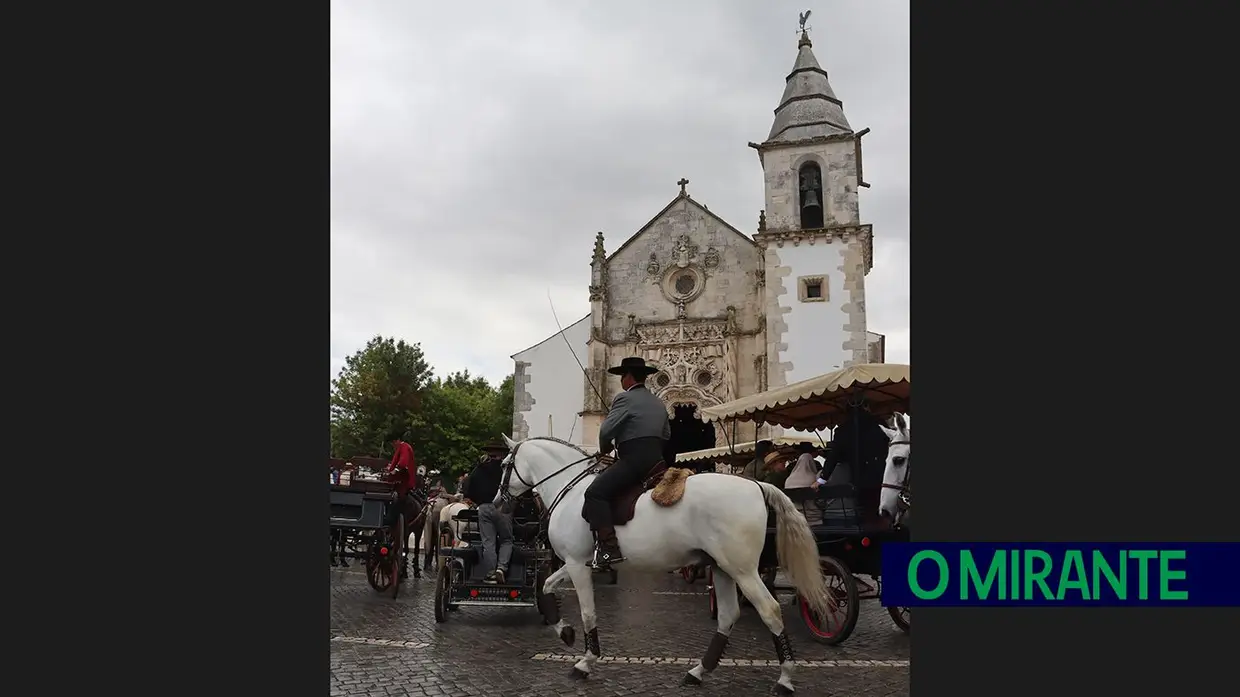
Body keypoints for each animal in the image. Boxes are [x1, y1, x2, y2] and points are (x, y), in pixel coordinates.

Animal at [496, 431, 833, 689]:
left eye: (504, 465)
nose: (499, 502)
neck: (570, 490)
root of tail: (757, 485)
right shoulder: (574, 562)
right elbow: (546, 587)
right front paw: (564, 632)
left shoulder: (579, 565)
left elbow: (588, 613)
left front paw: (585, 661)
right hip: (722, 568)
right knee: (728, 615)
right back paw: (698, 672)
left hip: (743, 570)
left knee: (770, 611)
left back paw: (785, 678)